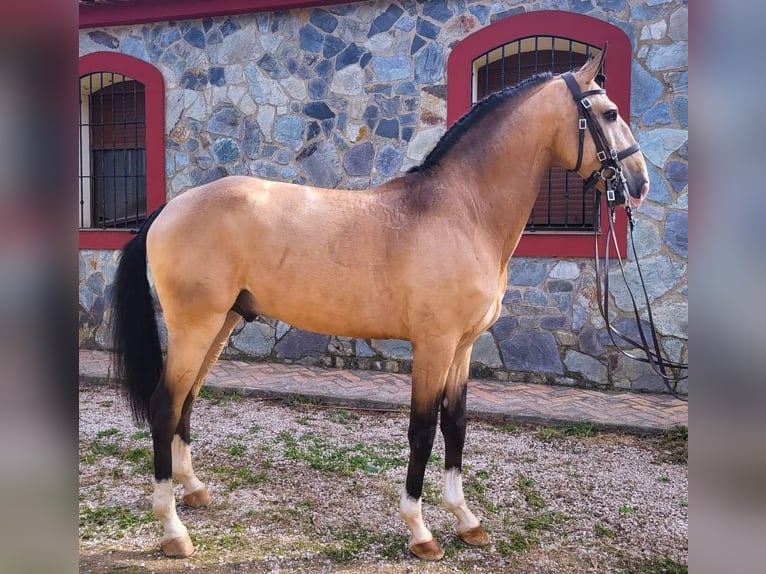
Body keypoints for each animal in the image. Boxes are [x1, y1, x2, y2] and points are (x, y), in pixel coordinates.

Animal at [109, 49, 648, 564]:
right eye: (609, 112)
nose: (639, 183)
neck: (461, 211)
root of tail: (170, 207)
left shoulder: (462, 348)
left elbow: (456, 426)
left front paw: (467, 521)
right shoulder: (433, 346)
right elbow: (423, 431)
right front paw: (421, 532)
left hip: (219, 325)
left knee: (187, 401)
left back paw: (194, 492)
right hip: (194, 327)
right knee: (165, 406)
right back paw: (173, 530)